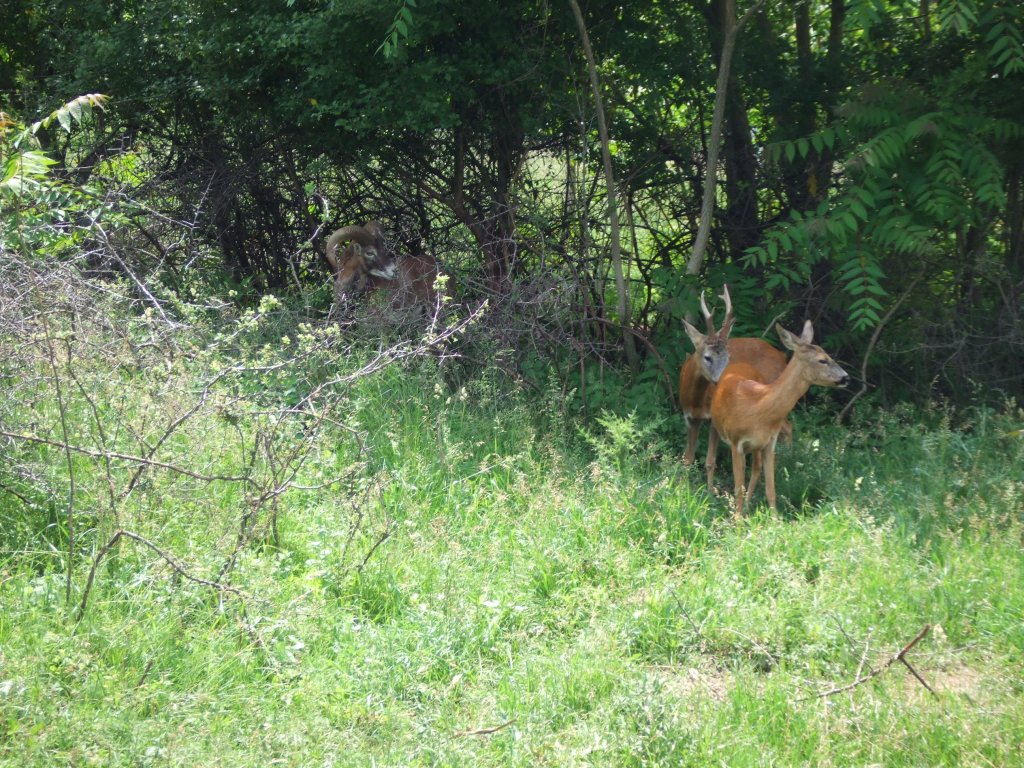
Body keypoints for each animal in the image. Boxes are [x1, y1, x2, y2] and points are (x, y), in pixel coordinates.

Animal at [679, 286, 790, 489]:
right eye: (707, 357)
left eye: (728, 358)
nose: (723, 380)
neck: (696, 399)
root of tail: (782, 356)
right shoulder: (690, 417)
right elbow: (688, 457)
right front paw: (681, 485)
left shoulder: (714, 417)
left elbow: (710, 461)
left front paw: (709, 492)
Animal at [708, 319, 851, 518]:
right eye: (822, 360)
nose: (846, 377)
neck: (758, 407)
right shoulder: (736, 443)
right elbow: (738, 488)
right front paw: (737, 520)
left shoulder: (769, 443)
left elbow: (771, 489)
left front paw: (775, 520)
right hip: (717, 426)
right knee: (712, 458)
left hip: (757, 446)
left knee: (756, 468)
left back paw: (748, 506)